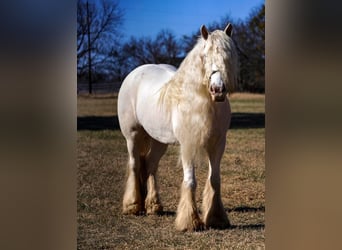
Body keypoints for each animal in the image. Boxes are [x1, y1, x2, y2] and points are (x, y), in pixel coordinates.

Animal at [117, 23, 238, 230]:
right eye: (204, 56)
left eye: (228, 56)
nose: (218, 90)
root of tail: (134, 74)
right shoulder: (188, 145)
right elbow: (190, 181)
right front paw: (190, 222)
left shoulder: (218, 144)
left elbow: (214, 180)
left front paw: (216, 218)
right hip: (132, 136)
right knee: (134, 164)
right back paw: (133, 206)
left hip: (159, 141)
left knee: (150, 165)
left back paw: (153, 206)